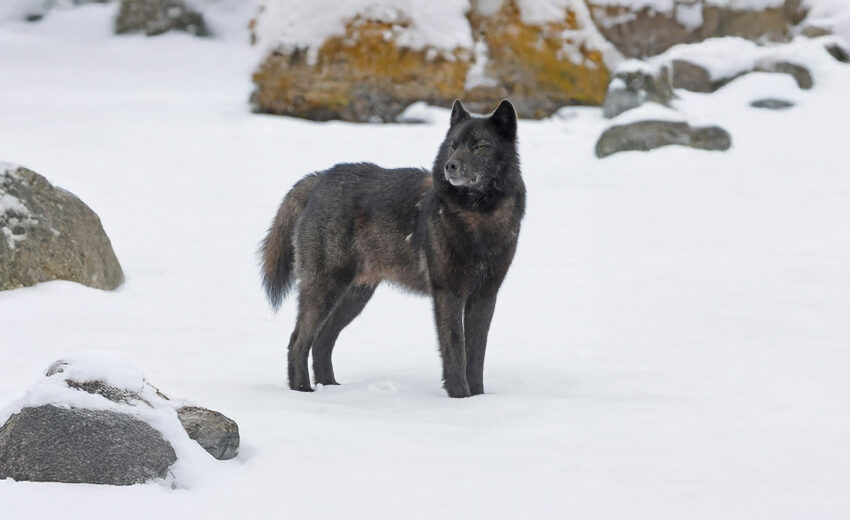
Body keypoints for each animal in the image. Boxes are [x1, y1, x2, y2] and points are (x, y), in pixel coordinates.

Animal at [261, 100, 525, 398]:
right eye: (453, 146)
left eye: (480, 146)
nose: (450, 166)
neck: (478, 217)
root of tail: (320, 178)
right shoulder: (448, 293)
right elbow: (456, 351)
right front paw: (459, 396)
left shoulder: (485, 295)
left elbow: (476, 354)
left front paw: (478, 398)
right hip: (326, 288)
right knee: (298, 340)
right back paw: (303, 391)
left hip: (355, 295)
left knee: (322, 341)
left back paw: (331, 388)